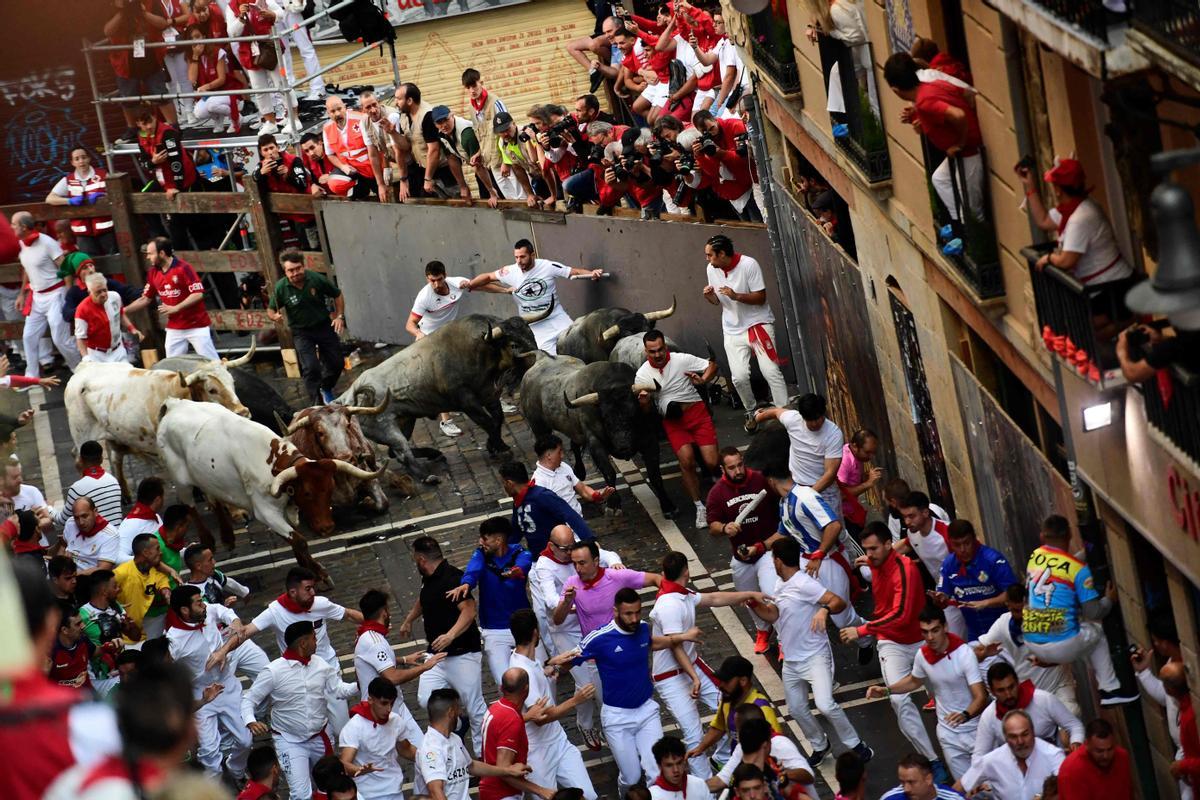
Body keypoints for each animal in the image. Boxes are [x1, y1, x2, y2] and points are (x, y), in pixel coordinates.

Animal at [520, 352, 681, 515]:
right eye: (605, 418)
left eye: (633, 414)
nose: (623, 446)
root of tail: (540, 358)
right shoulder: (595, 442)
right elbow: (609, 472)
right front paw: (613, 504)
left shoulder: (649, 439)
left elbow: (654, 474)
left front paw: (668, 505)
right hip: (539, 427)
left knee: (575, 443)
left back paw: (579, 472)